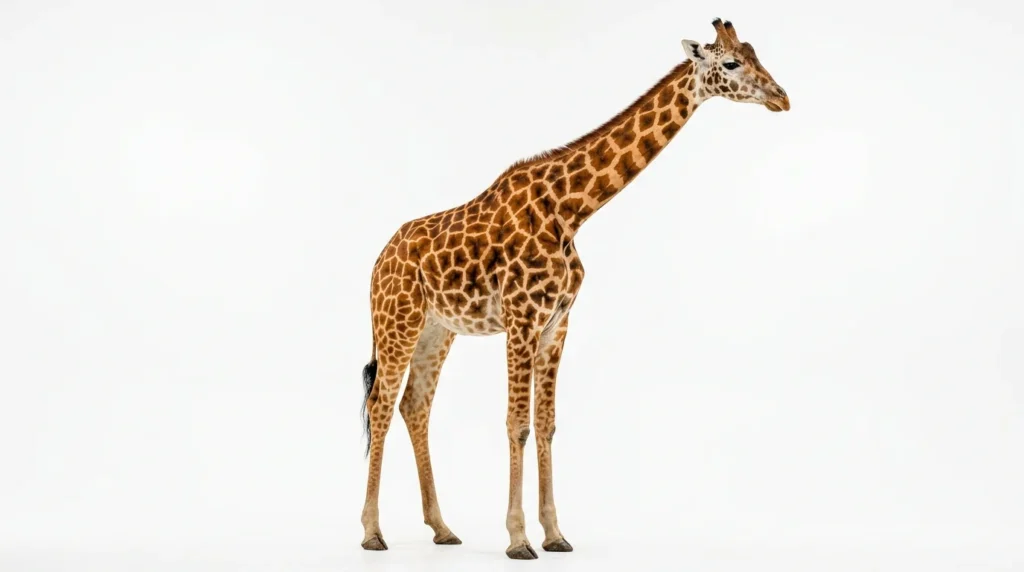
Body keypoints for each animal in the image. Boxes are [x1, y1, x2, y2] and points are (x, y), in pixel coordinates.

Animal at [358, 18, 789, 560]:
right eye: (731, 63)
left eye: (756, 54)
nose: (782, 97)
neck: (571, 211)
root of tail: (379, 260)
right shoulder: (521, 319)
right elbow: (517, 423)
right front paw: (518, 539)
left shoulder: (556, 324)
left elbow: (546, 424)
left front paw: (555, 534)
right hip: (397, 322)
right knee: (380, 405)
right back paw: (372, 532)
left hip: (437, 330)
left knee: (415, 406)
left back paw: (442, 528)